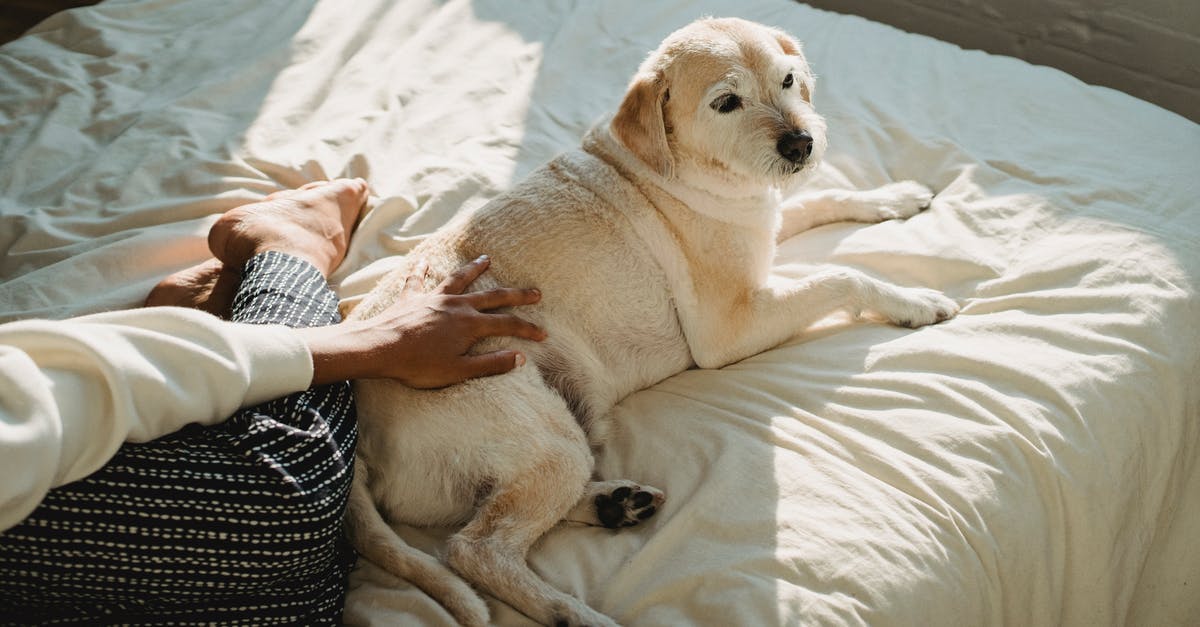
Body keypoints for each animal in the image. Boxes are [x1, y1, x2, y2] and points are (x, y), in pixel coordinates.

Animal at [345, 15, 955, 624]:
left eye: (787, 80)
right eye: (727, 102)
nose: (801, 142)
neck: (678, 167)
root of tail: (359, 431)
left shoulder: (766, 222)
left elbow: (824, 199)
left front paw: (893, 196)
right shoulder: (730, 328)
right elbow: (844, 277)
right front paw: (915, 302)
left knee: (492, 516)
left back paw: (614, 505)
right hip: (545, 437)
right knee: (476, 548)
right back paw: (576, 611)